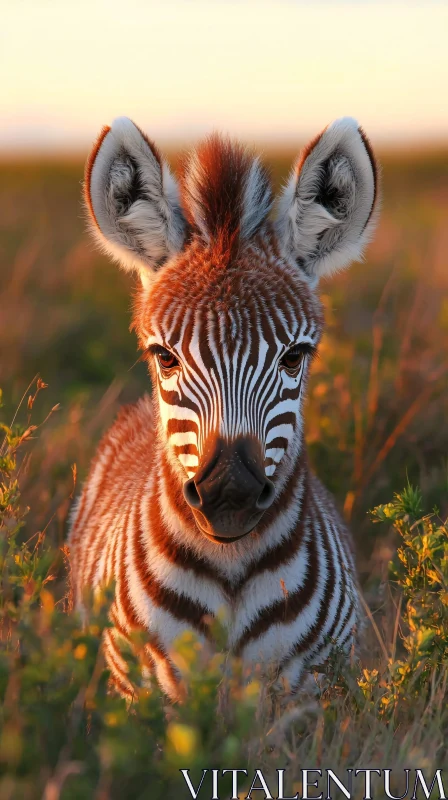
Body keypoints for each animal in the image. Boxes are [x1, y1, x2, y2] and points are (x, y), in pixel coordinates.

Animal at [69, 115, 378, 704]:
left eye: (295, 356)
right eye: (164, 356)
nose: (228, 496)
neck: (231, 571)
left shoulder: (315, 696)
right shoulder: (145, 694)